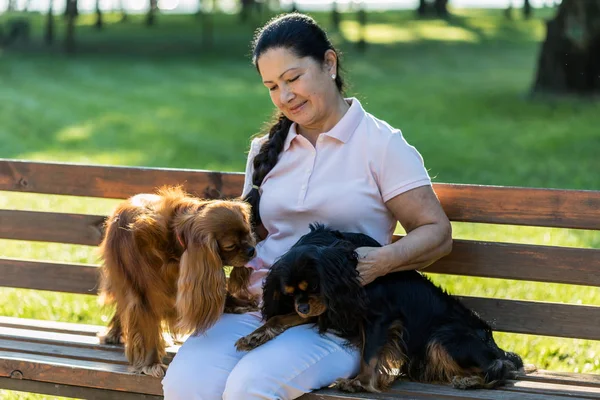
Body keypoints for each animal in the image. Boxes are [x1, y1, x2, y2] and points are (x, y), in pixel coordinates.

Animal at [99, 186, 258, 376]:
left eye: (248, 233)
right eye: (230, 246)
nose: (251, 250)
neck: (173, 242)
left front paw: (240, 304)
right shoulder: (143, 295)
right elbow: (145, 328)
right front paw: (151, 363)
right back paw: (113, 334)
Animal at [237, 223, 528, 392]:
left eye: (315, 288)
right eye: (290, 294)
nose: (303, 307)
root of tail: (493, 344)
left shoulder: (379, 318)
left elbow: (369, 356)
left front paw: (359, 383)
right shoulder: (330, 312)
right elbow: (279, 319)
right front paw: (253, 337)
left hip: (444, 337)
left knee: (501, 366)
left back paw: (472, 380)